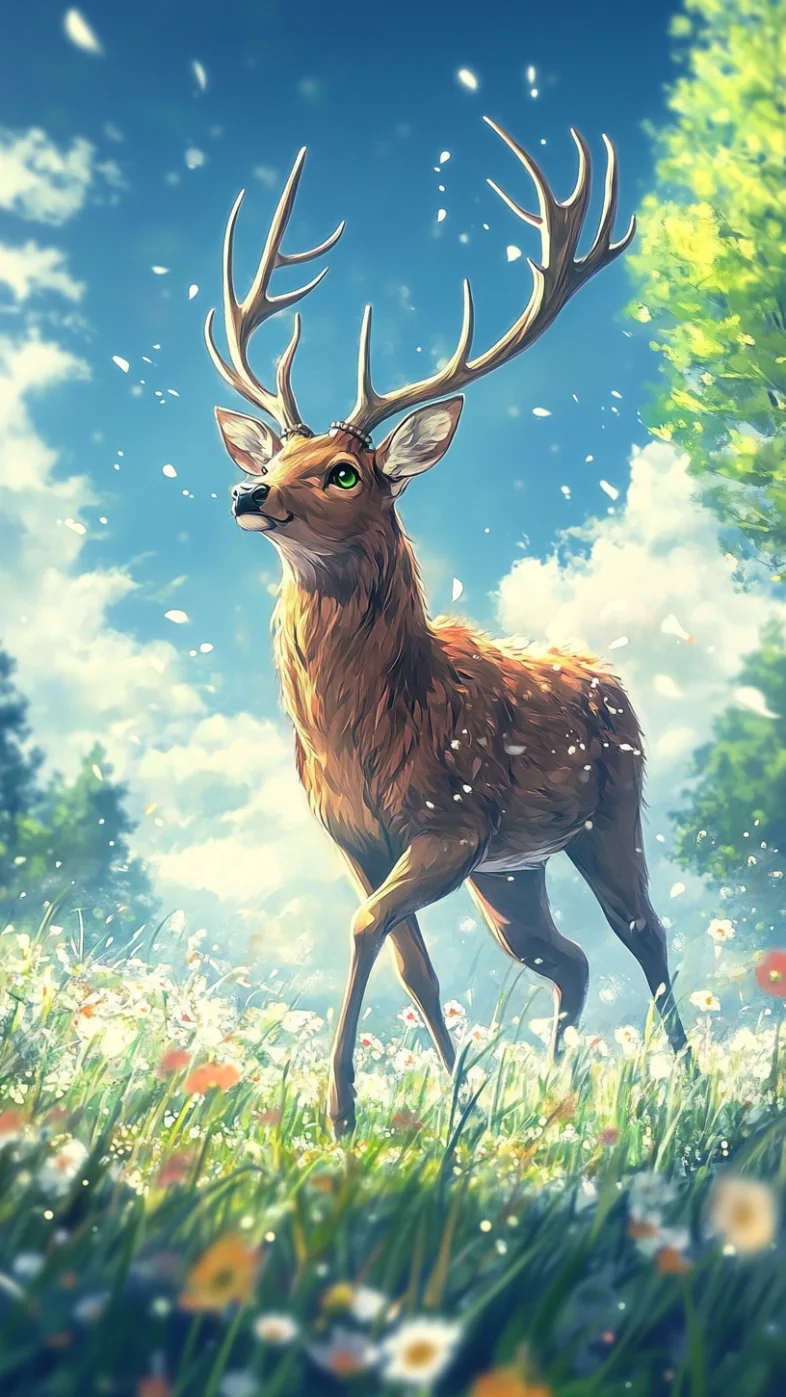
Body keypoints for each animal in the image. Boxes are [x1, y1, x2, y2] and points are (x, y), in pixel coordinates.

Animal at [206, 117, 690, 1136]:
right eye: (273, 454)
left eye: (345, 469)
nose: (248, 492)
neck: (370, 725)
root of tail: (608, 675)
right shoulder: (355, 838)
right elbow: (408, 961)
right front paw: (453, 1102)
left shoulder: (452, 822)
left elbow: (365, 930)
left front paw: (343, 1106)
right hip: (513, 869)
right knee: (568, 959)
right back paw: (552, 1091)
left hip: (607, 813)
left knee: (643, 931)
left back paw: (689, 1080)